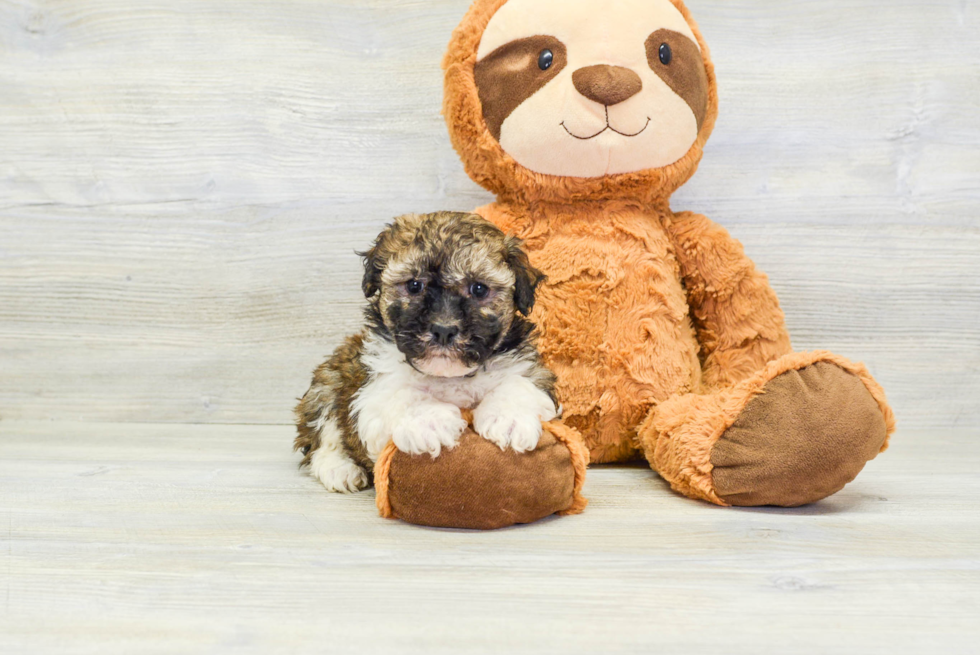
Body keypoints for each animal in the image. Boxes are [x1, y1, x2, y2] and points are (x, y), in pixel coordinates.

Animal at [290, 210, 556, 492]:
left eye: (479, 288)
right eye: (414, 285)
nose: (443, 329)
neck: (449, 376)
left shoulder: (527, 366)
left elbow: (519, 384)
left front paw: (509, 419)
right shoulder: (370, 388)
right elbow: (400, 393)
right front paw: (431, 421)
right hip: (326, 384)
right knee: (322, 434)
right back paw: (339, 468)